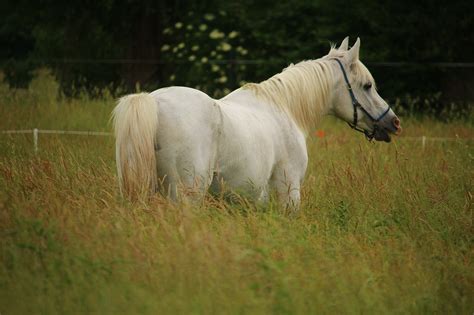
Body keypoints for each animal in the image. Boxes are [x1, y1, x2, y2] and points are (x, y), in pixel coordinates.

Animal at [113, 37, 402, 209]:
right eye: (367, 85)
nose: (394, 123)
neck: (284, 106)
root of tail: (154, 101)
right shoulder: (289, 192)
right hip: (186, 198)